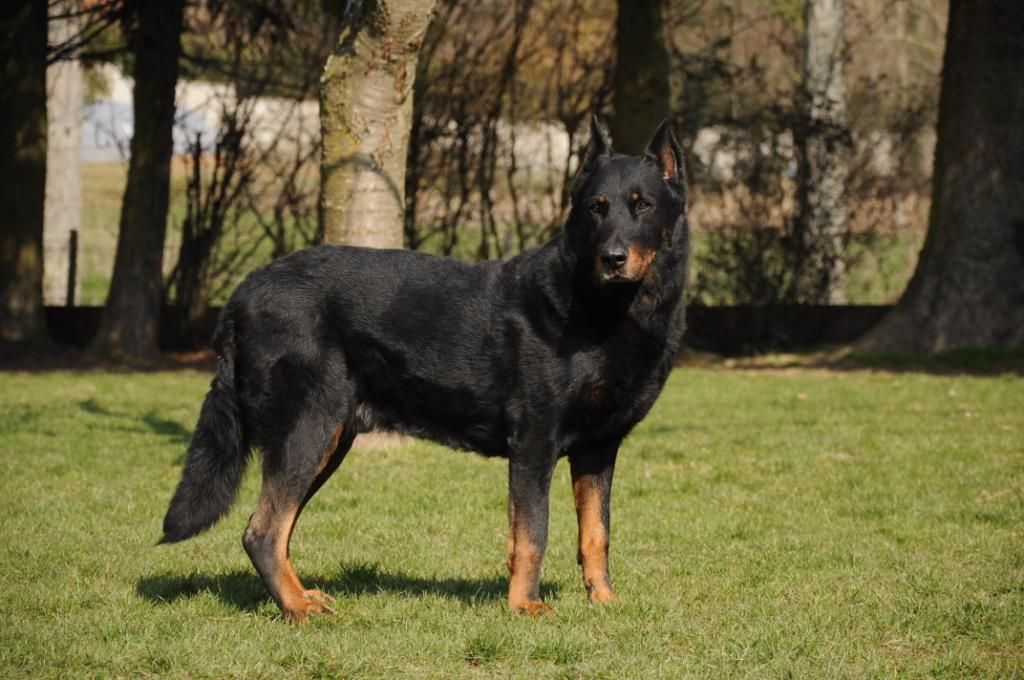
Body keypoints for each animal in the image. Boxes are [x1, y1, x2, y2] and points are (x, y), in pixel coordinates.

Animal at [161, 117, 689, 622]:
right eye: (596, 208)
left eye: (642, 206)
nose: (613, 258)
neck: (602, 307)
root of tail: (240, 295)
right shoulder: (535, 444)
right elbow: (532, 534)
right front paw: (524, 606)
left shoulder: (598, 449)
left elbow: (596, 533)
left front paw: (604, 600)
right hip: (307, 430)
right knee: (262, 531)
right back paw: (298, 610)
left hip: (329, 440)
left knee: (276, 527)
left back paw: (303, 597)